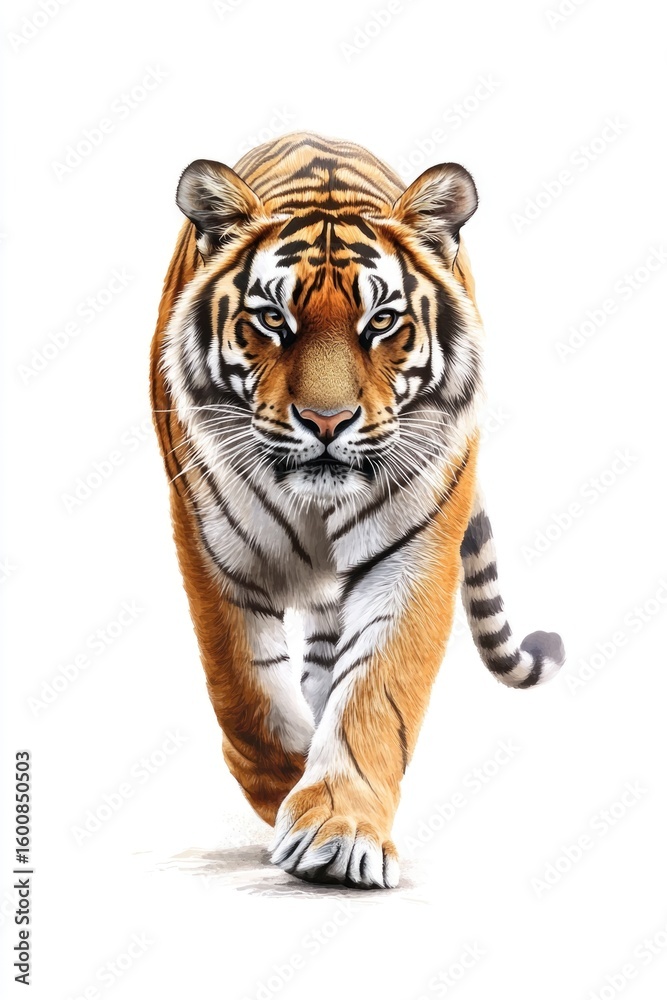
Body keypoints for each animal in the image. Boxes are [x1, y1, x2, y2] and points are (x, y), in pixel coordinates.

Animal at [150, 131, 565, 890]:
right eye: (272, 320)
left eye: (381, 322)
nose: (326, 420)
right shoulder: (212, 547)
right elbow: (245, 695)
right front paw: (287, 790)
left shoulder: (414, 551)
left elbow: (377, 689)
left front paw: (338, 828)